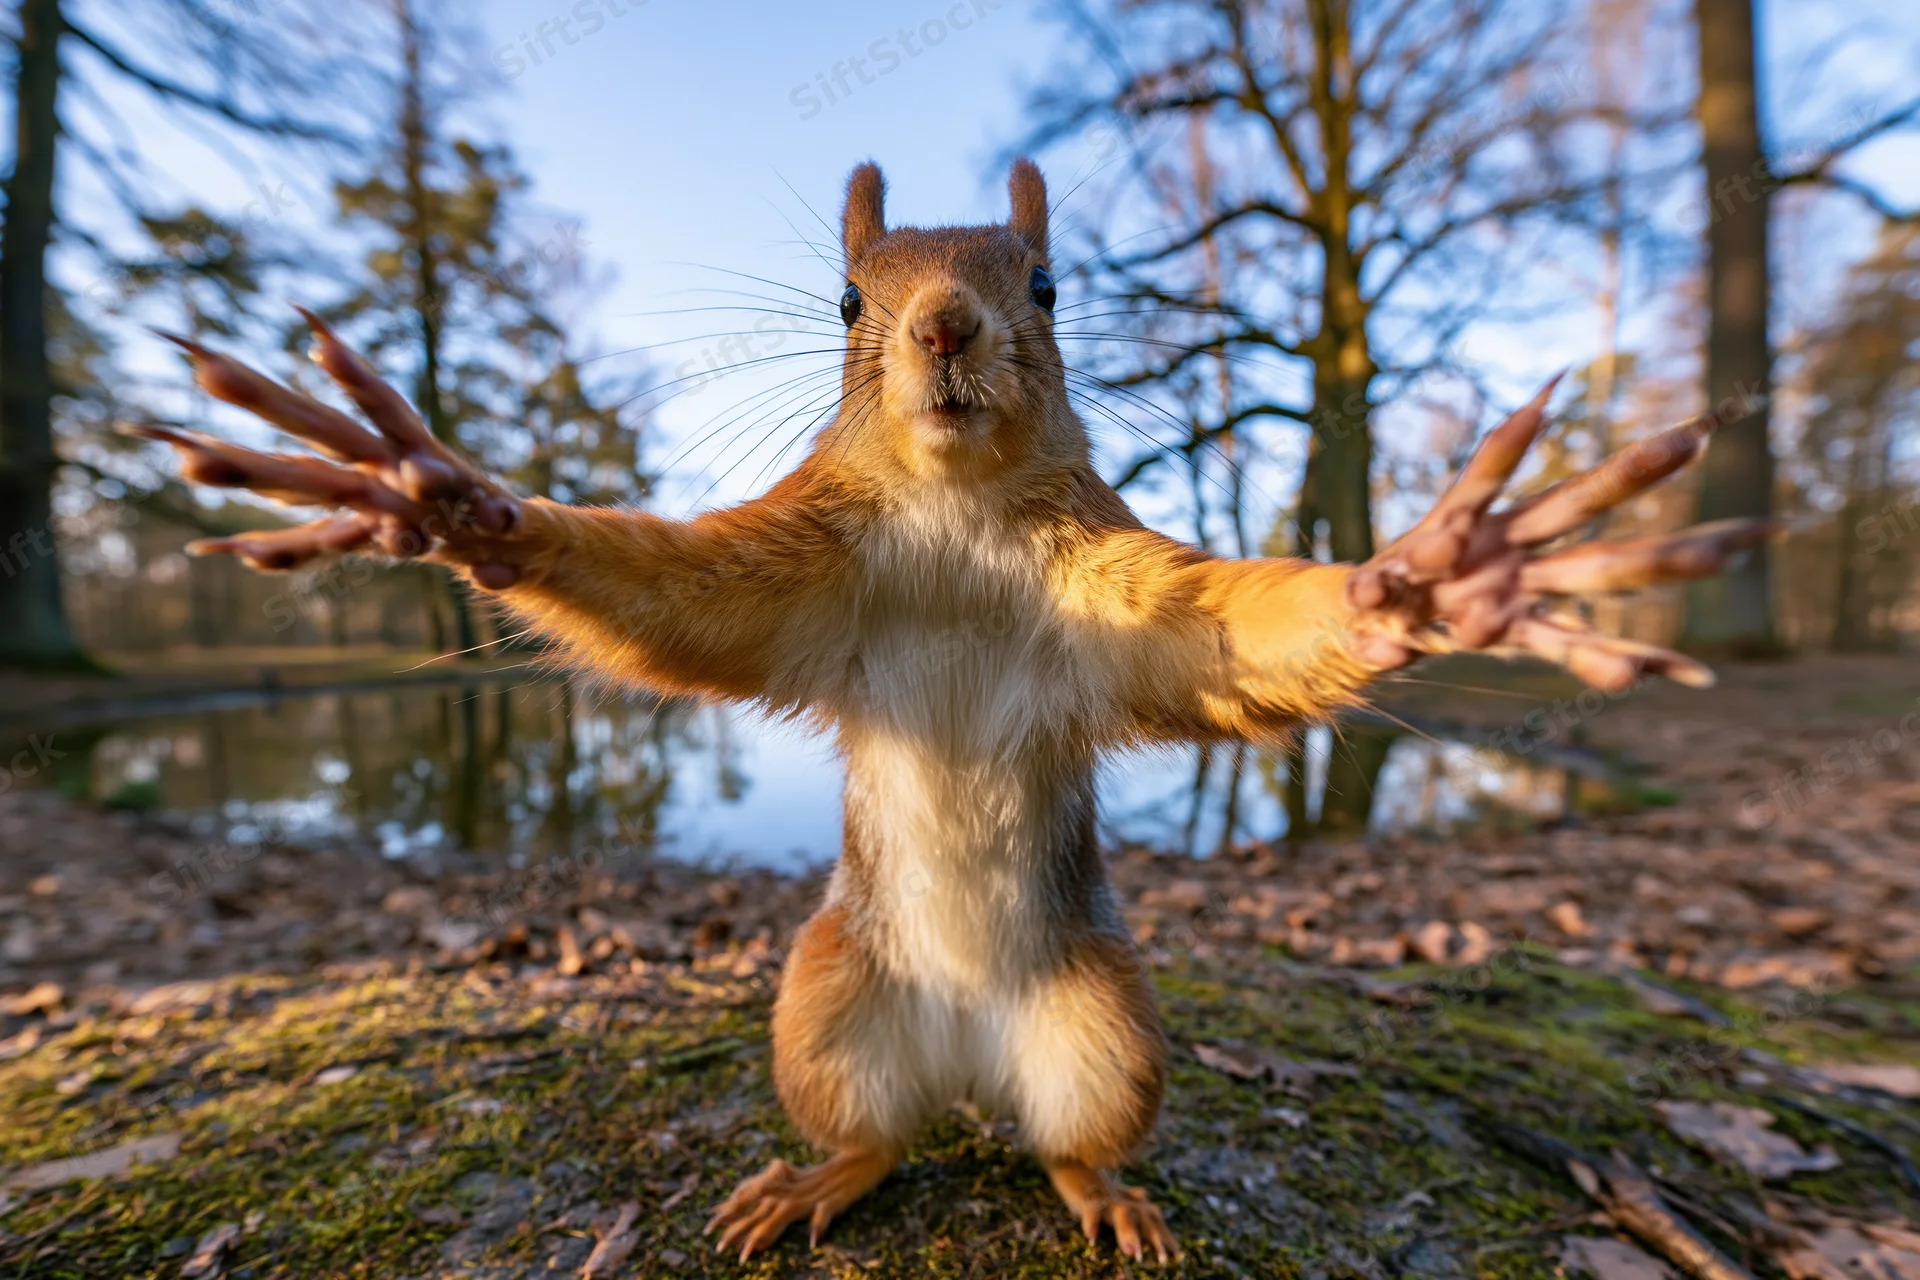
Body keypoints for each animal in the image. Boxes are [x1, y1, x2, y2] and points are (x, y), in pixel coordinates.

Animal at [141, 158, 1767, 1265]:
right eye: (848, 299)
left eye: (1046, 284)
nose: (943, 326)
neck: (957, 519)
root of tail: (973, 1071)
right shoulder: (798, 579)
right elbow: (668, 595)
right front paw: (448, 499)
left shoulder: (1122, 595)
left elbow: (1238, 632)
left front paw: (1437, 576)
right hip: (821, 1009)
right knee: (877, 1138)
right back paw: (817, 1181)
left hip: (1109, 1027)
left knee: (1065, 1146)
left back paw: (1102, 1195)